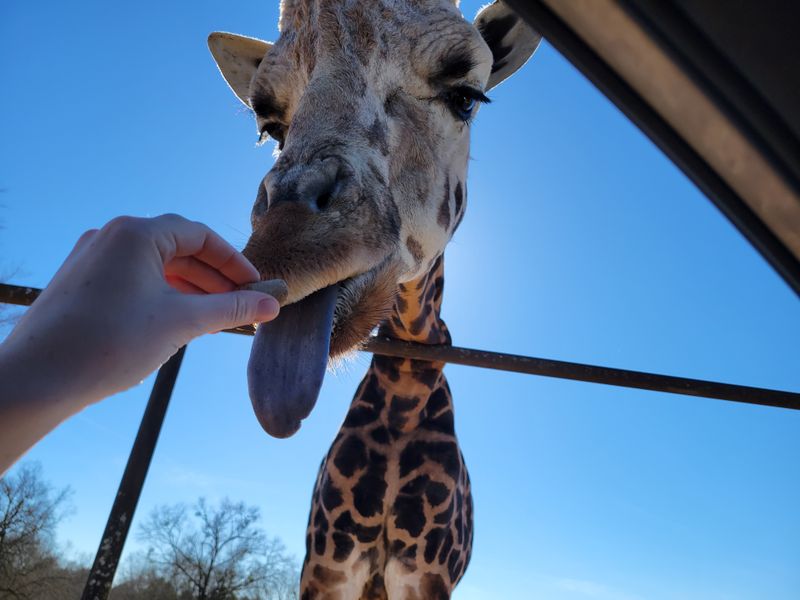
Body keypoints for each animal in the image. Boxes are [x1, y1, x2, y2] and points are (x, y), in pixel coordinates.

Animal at [209, 1, 540, 597]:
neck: (404, 396)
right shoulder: (328, 563)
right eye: (270, 126)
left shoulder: (426, 573)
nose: (286, 246)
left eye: (466, 96)